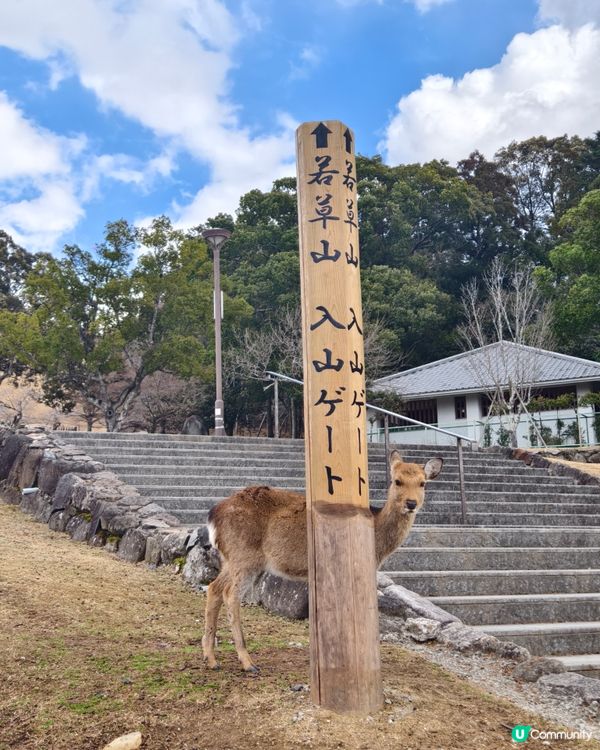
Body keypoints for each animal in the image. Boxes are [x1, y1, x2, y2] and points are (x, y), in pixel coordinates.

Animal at [202, 449, 443, 672]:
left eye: (422, 483)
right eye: (397, 480)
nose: (411, 503)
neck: (378, 545)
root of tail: (213, 516)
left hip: (233, 559)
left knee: (214, 588)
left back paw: (211, 659)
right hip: (245, 555)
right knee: (230, 594)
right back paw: (247, 662)